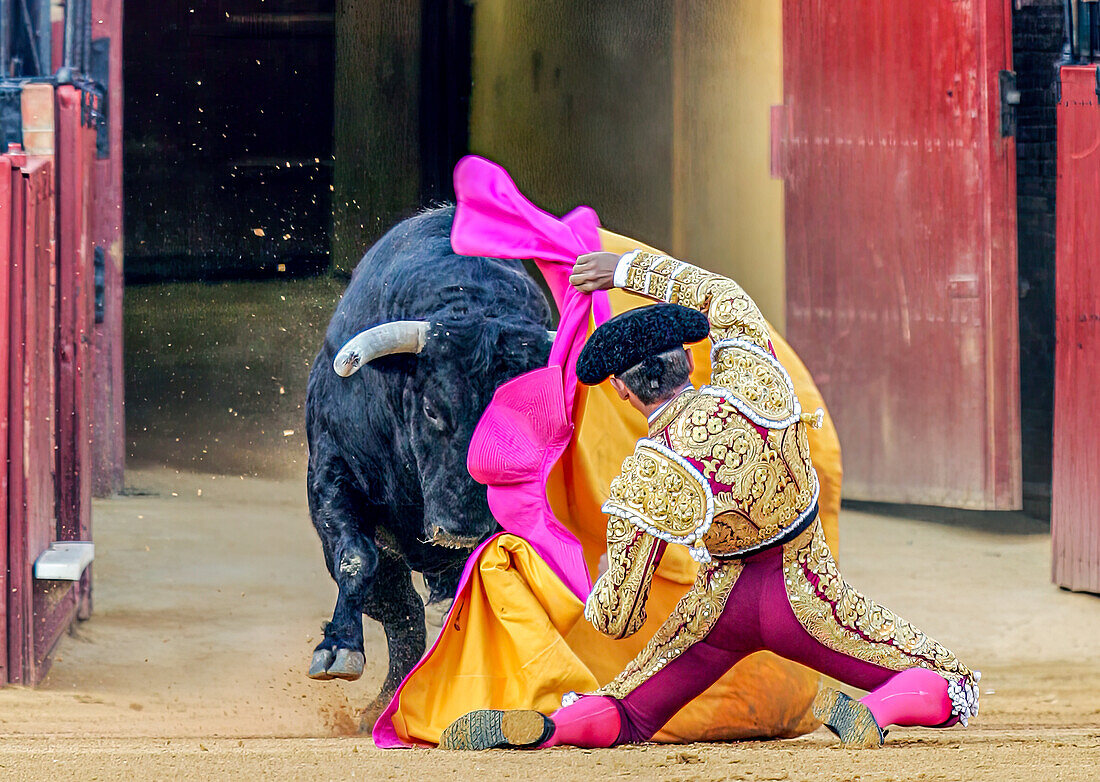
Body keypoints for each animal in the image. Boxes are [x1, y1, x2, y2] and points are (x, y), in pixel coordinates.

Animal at [305, 206, 554, 721]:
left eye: (527, 416)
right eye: (432, 410)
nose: (460, 530)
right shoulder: (332, 477)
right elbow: (358, 558)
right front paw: (337, 649)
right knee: (404, 613)